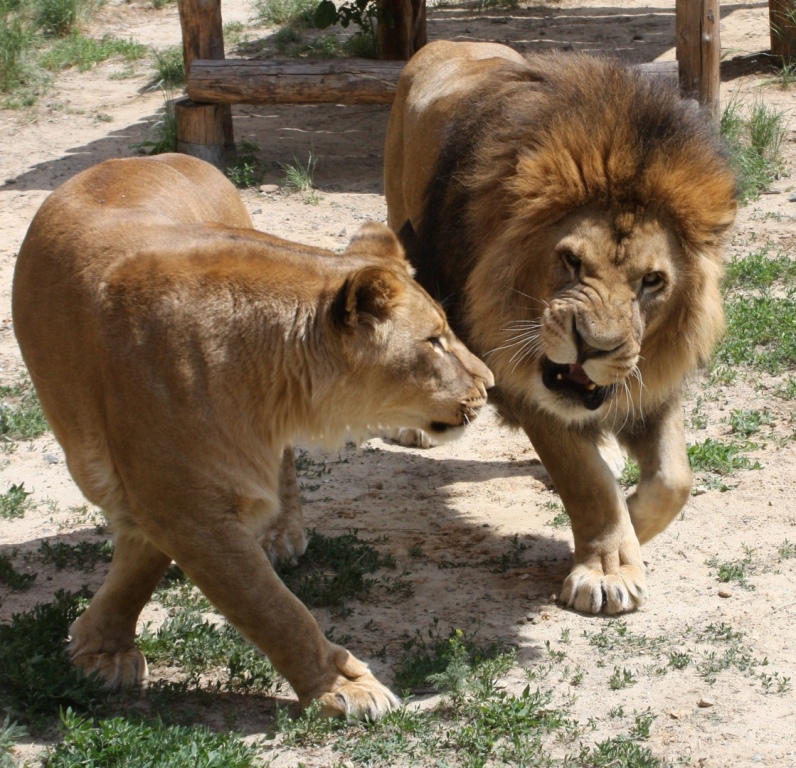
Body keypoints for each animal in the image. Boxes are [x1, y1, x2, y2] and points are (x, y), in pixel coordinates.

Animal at [14, 152, 492, 720]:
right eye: (434, 340)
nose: (489, 382)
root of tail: (159, 155)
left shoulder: (176, 498)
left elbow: (159, 565)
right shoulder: (183, 504)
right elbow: (270, 607)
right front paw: (343, 685)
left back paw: (281, 533)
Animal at [382, 42, 736, 616]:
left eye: (652, 281)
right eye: (570, 260)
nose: (593, 346)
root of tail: (447, 44)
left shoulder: (648, 386)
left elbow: (675, 480)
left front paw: (632, 523)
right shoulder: (524, 382)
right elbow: (585, 480)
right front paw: (608, 567)